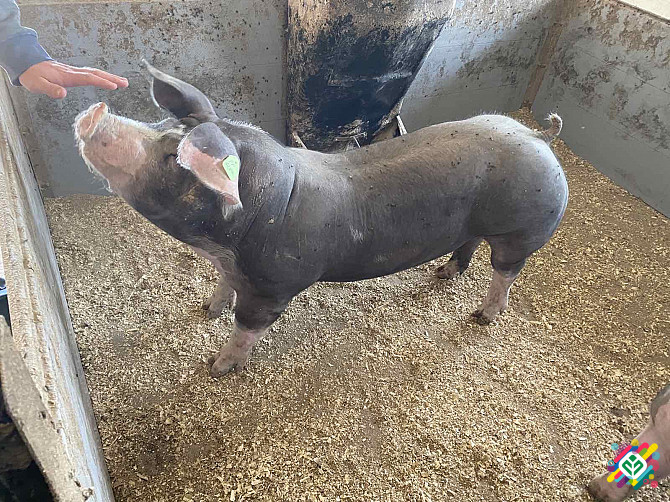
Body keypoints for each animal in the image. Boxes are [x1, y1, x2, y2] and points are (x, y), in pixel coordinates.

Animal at [74, 63, 568, 377]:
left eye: (173, 157)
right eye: (161, 125)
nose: (94, 112)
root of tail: (537, 134)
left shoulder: (273, 287)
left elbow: (246, 328)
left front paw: (217, 368)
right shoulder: (231, 268)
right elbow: (220, 292)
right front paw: (206, 310)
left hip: (523, 231)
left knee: (504, 272)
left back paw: (482, 316)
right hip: (476, 224)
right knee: (467, 246)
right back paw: (444, 274)